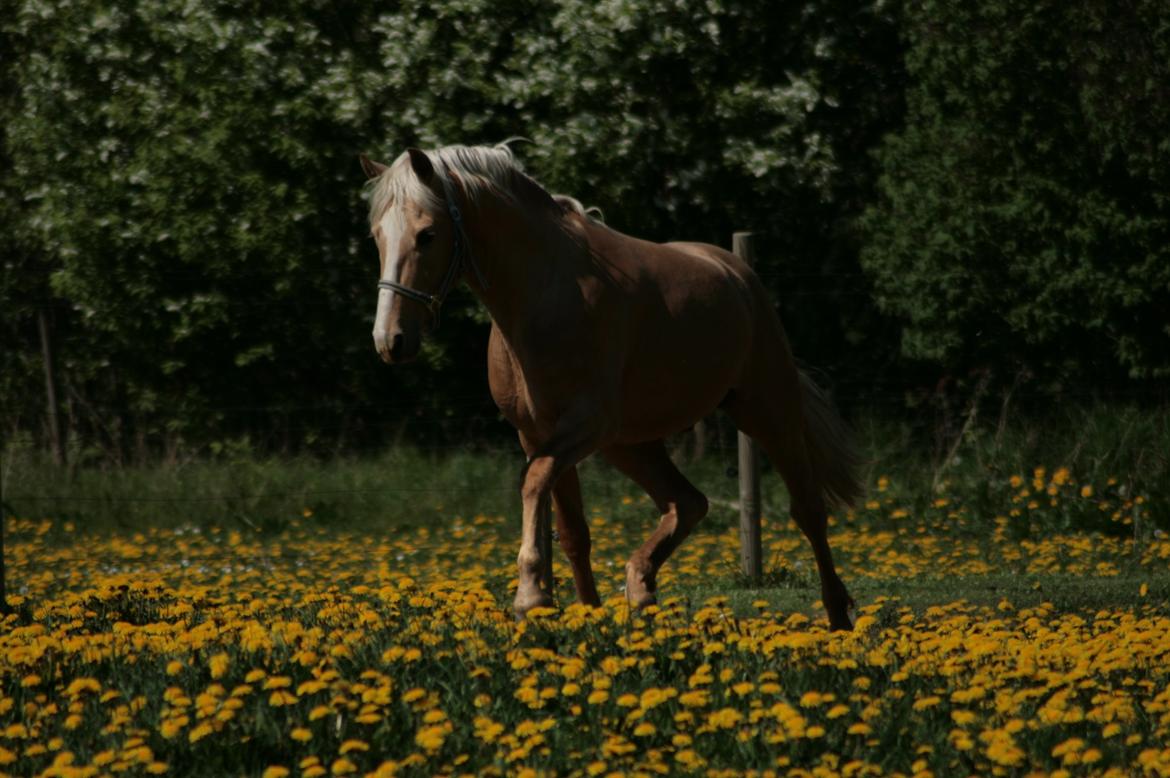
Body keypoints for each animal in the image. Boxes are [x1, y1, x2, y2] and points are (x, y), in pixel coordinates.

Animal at [360, 142, 865, 631]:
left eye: (427, 234)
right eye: (378, 236)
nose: (390, 340)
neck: (544, 296)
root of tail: (738, 274)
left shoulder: (585, 425)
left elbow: (533, 484)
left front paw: (531, 597)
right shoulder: (537, 434)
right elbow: (570, 529)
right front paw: (585, 612)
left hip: (766, 413)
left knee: (808, 511)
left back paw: (838, 616)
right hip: (630, 444)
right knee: (688, 502)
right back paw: (640, 587)